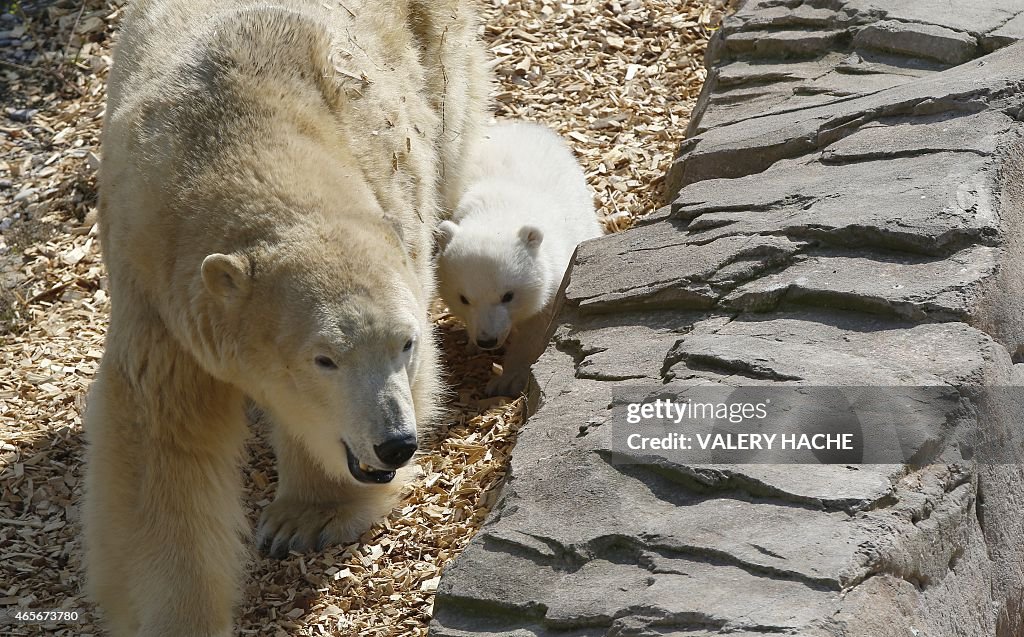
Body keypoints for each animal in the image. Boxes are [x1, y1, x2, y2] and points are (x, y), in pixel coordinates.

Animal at [81, 1, 489, 634]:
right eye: (324, 359)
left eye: (406, 343)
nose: (395, 444)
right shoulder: (157, 292)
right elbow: (160, 451)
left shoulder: (395, 199)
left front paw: (306, 518)